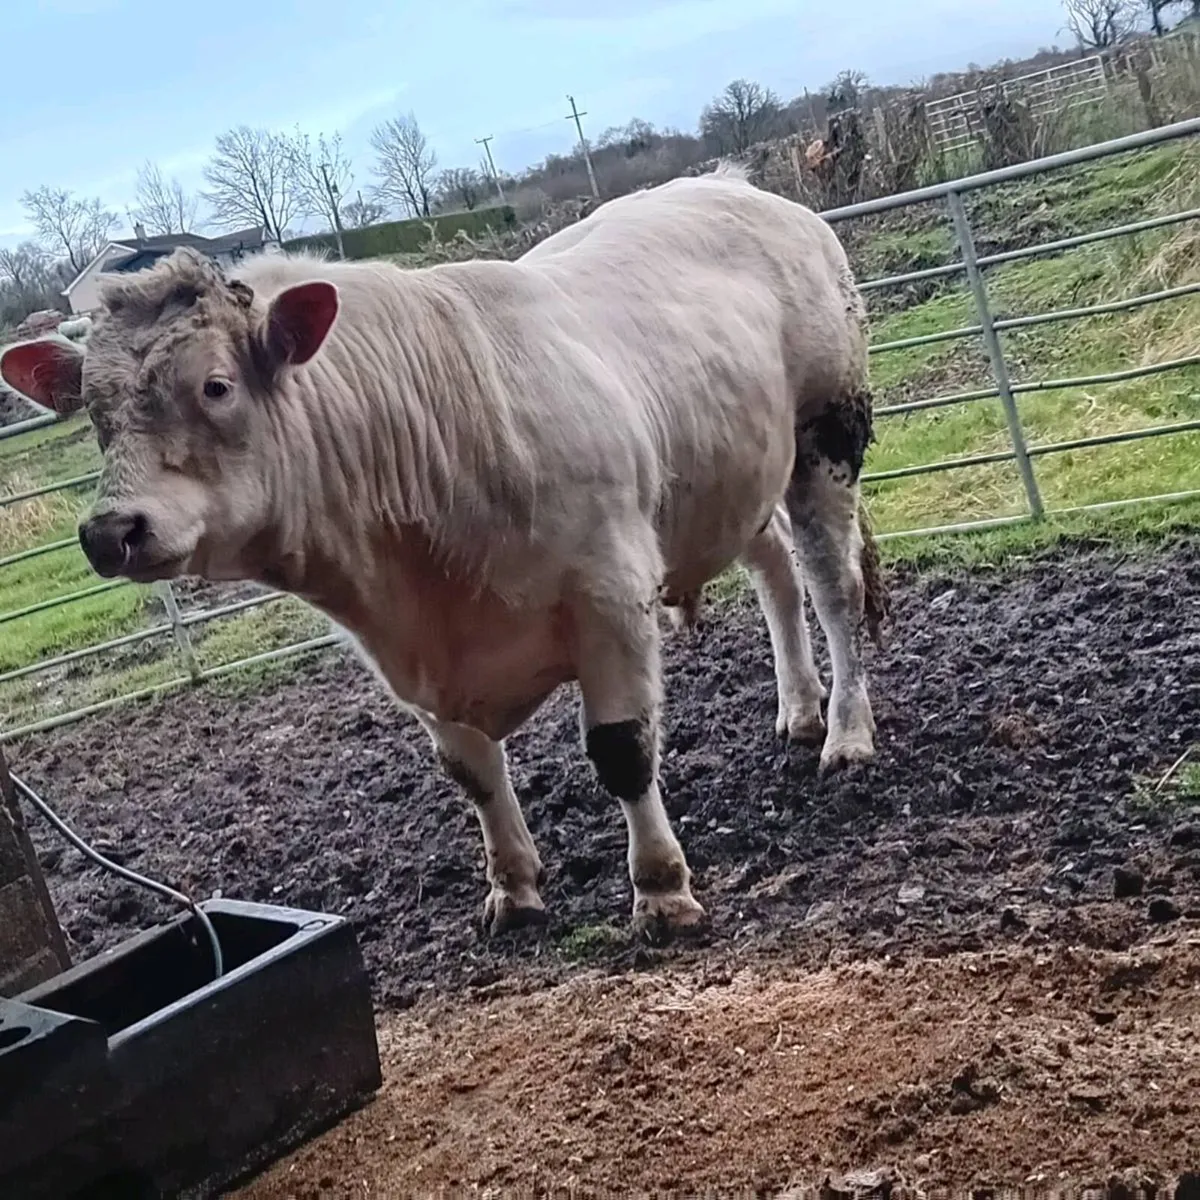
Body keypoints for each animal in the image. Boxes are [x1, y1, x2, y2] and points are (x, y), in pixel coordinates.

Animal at [0, 162, 887, 941]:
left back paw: (845, 733)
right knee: (776, 571)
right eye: (94, 414)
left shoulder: (610, 597)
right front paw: (514, 890)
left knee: (831, 584)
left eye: (215, 386)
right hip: (735, 478)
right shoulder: (408, 653)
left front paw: (661, 892)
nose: (111, 530)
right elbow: (472, 773)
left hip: (826, 433)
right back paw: (798, 709)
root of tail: (738, 187)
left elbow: (622, 750)